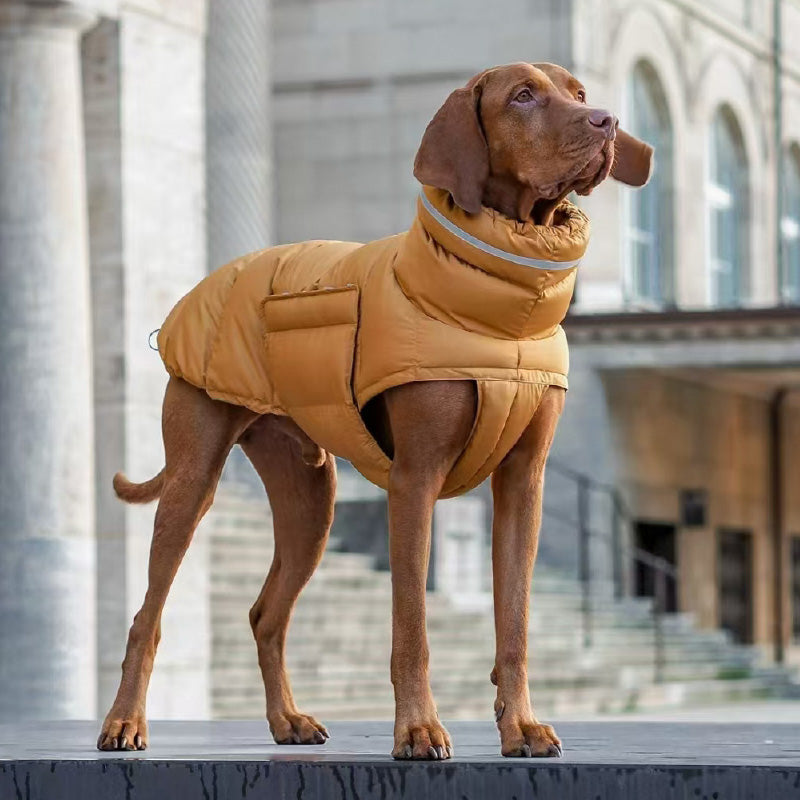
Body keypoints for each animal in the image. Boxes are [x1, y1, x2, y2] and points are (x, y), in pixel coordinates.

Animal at [97, 61, 652, 756]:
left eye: (578, 93)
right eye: (523, 96)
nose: (606, 121)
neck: (502, 309)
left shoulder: (524, 484)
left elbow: (516, 622)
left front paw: (520, 725)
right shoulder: (415, 480)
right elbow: (411, 623)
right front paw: (418, 729)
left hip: (310, 501)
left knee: (265, 614)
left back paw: (287, 720)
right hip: (193, 479)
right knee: (147, 615)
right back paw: (124, 722)